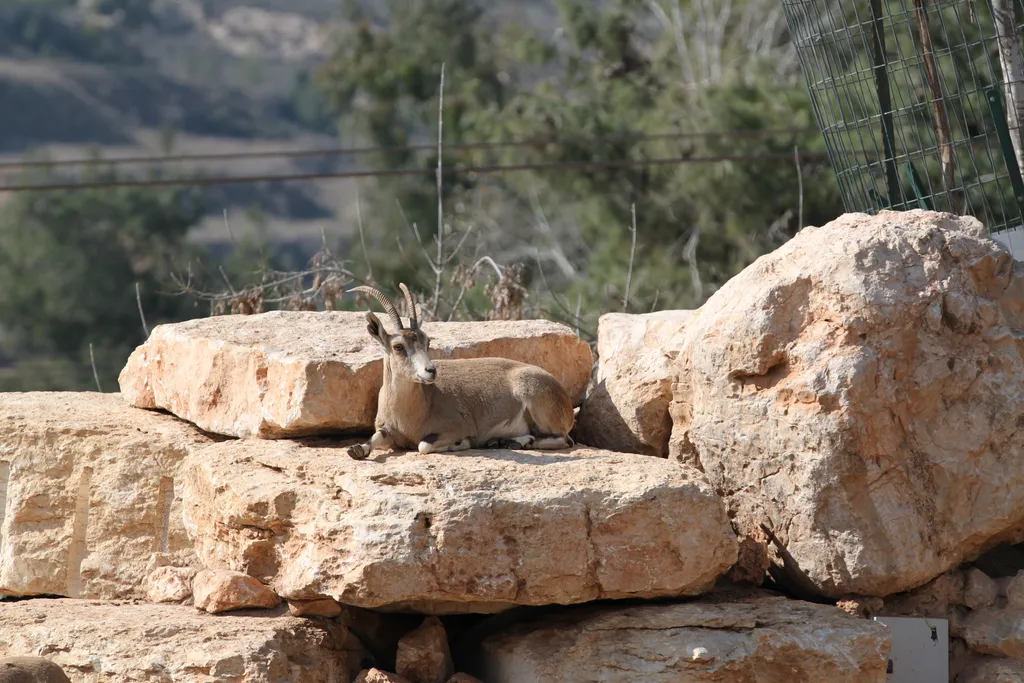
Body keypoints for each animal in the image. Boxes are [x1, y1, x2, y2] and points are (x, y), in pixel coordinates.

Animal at [345, 283, 576, 460]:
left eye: (427, 341)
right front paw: (357, 449)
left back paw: (518, 442)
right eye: (398, 346)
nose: (431, 371)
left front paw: (462, 443)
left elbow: (424, 445)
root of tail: (563, 397)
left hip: (535, 400)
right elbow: (373, 440)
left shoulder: (455, 426)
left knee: (563, 439)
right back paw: (501, 442)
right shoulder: (387, 429)